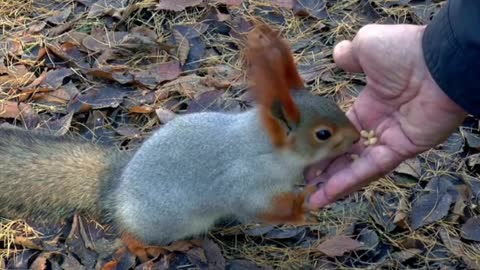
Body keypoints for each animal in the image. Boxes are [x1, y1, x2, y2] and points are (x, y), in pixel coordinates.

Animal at [0, 21, 360, 260]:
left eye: (334, 106)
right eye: (323, 134)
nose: (357, 138)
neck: (266, 148)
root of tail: (116, 189)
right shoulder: (243, 182)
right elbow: (255, 207)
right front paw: (300, 209)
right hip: (164, 221)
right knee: (130, 232)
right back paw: (143, 247)